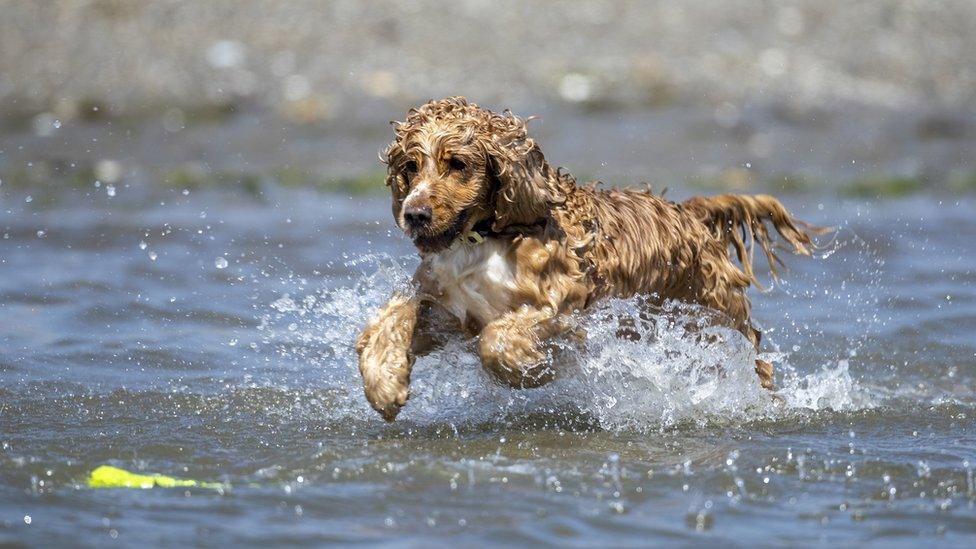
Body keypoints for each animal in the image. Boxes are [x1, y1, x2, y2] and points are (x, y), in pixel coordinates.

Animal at [354, 96, 820, 420]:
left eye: (457, 164)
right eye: (410, 167)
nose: (414, 214)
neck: (483, 240)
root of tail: (688, 213)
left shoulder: (564, 302)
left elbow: (498, 339)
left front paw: (529, 368)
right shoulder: (446, 310)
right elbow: (391, 317)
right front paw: (385, 383)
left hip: (714, 321)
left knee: (756, 365)